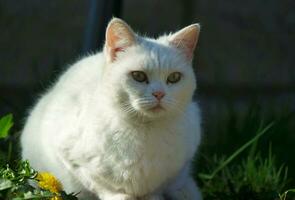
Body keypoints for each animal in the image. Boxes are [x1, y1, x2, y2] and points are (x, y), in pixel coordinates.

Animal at [21, 18, 204, 199]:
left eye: (174, 77)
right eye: (138, 76)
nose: (159, 94)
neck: (145, 131)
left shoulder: (173, 172)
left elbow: (154, 191)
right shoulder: (70, 158)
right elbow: (103, 186)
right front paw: (120, 196)